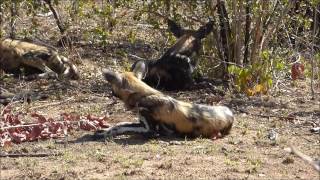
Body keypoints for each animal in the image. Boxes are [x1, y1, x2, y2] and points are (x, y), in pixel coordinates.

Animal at [94, 67, 234, 139]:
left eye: (112, 87)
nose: (110, 93)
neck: (144, 95)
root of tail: (231, 114)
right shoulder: (141, 122)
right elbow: (120, 125)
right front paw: (104, 131)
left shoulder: (149, 130)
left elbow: (127, 128)